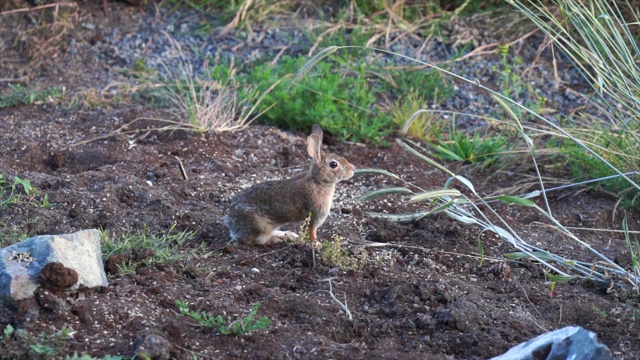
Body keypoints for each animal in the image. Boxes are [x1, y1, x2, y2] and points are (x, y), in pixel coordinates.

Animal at [224, 124, 356, 245]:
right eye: (333, 164)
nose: (353, 169)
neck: (317, 181)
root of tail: (231, 223)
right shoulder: (316, 214)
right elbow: (312, 231)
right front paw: (316, 244)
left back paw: (288, 234)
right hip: (260, 225)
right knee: (257, 240)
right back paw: (278, 239)